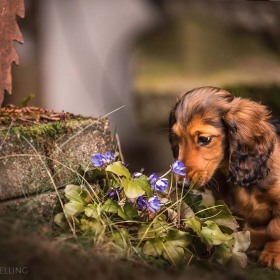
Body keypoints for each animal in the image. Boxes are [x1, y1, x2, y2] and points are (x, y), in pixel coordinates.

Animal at [170, 86, 280, 268]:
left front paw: (273, 254)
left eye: (204, 139)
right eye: (177, 138)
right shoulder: (226, 204)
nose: (182, 185)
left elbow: (275, 229)